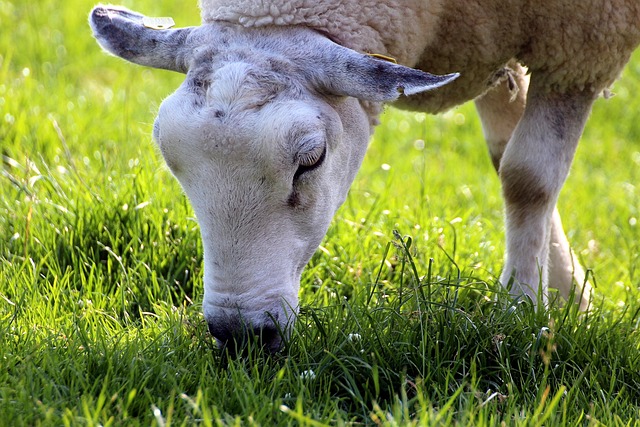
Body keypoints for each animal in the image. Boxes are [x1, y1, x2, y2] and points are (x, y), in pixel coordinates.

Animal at [90, 0, 640, 352]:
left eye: (311, 160)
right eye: (172, 161)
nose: (241, 336)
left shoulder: (580, 48)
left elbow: (527, 177)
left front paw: (521, 311)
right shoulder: (495, 41)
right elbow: (505, 156)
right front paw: (568, 300)